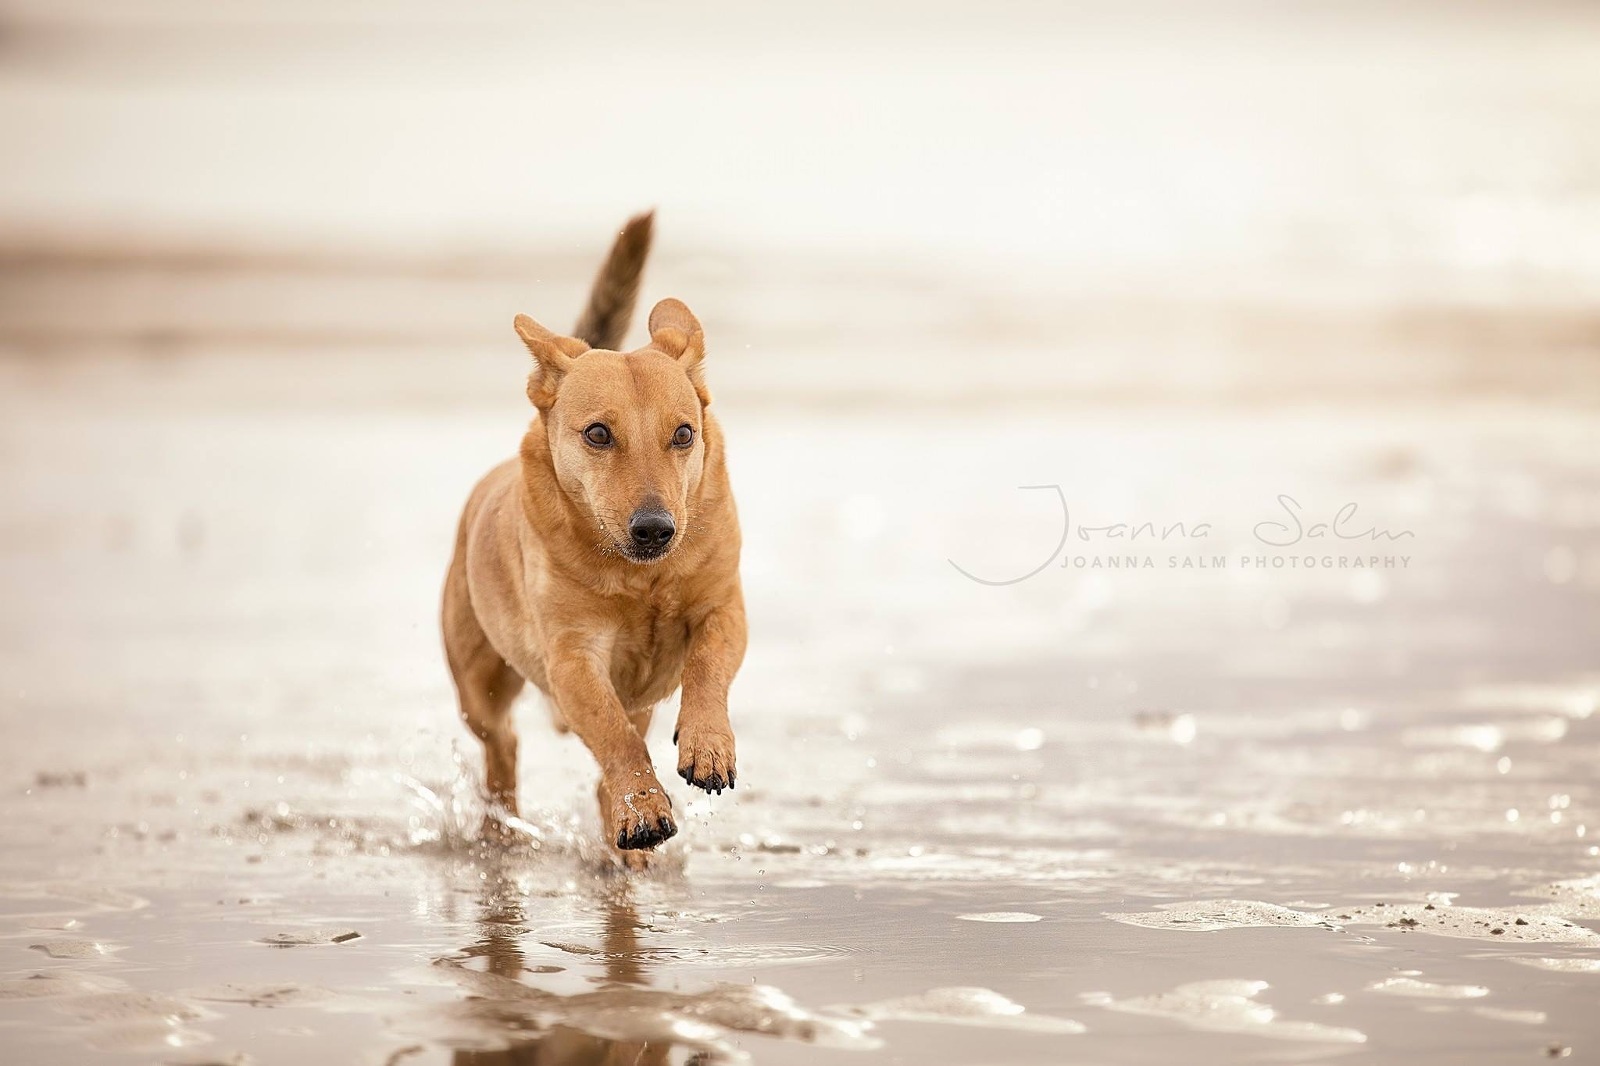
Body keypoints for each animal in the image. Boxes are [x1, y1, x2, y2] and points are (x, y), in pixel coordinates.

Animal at [441, 214, 745, 864]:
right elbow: (612, 733)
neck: (640, 577)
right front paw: (645, 808)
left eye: (684, 433)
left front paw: (707, 746)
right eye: (599, 433)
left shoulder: (723, 607)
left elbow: (707, 666)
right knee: (502, 749)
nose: (656, 528)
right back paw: (505, 833)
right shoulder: (574, 658)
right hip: (478, 685)